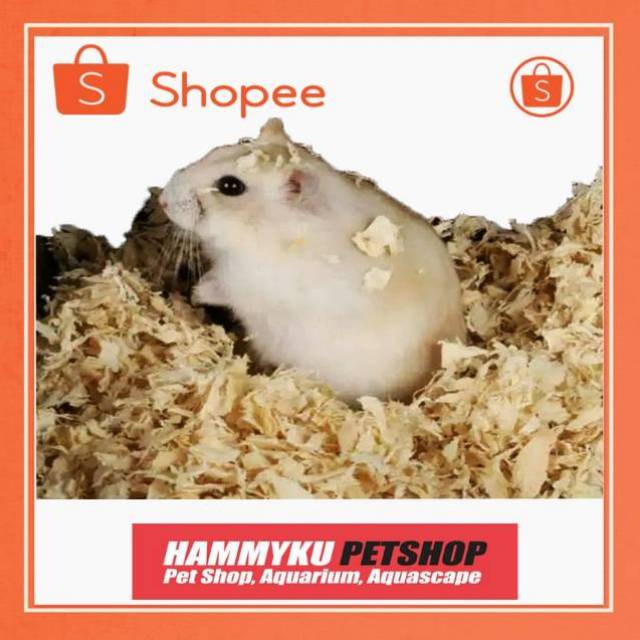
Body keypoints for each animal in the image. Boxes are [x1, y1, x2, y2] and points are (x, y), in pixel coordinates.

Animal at [160, 118, 466, 402]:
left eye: (230, 186)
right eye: (216, 151)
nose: (162, 200)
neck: (263, 229)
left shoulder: (247, 281)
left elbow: (220, 288)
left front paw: (196, 292)